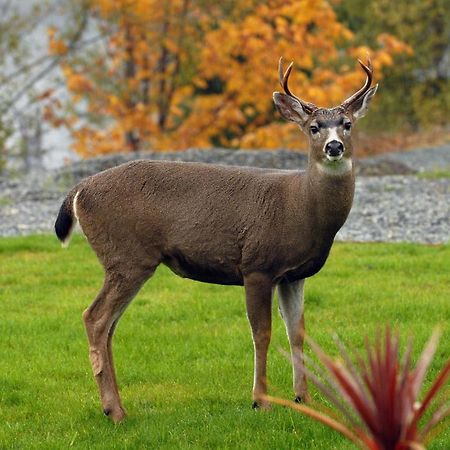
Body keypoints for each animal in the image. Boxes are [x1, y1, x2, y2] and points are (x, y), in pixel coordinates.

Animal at [54, 56, 376, 422]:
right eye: (313, 127)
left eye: (347, 124)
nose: (334, 146)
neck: (302, 207)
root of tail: (78, 190)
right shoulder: (257, 265)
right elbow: (262, 333)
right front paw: (260, 400)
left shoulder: (294, 274)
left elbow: (297, 331)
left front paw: (303, 398)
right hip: (127, 256)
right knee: (95, 318)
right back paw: (115, 411)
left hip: (126, 261)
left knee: (108, 325)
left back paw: (115, 407)